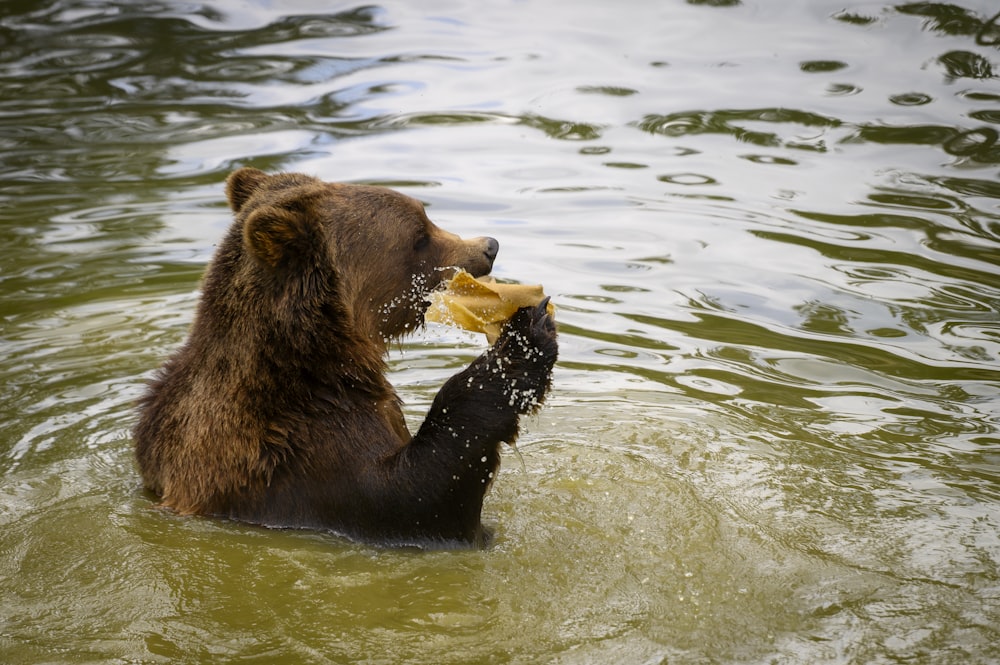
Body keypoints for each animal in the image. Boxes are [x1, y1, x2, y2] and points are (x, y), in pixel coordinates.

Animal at [132, 167, 556, 544]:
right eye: (419, 235)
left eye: (426, 217)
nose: (489, 246)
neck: (328, 362)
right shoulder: (300, 451)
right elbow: (413, 498)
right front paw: (525, 338)